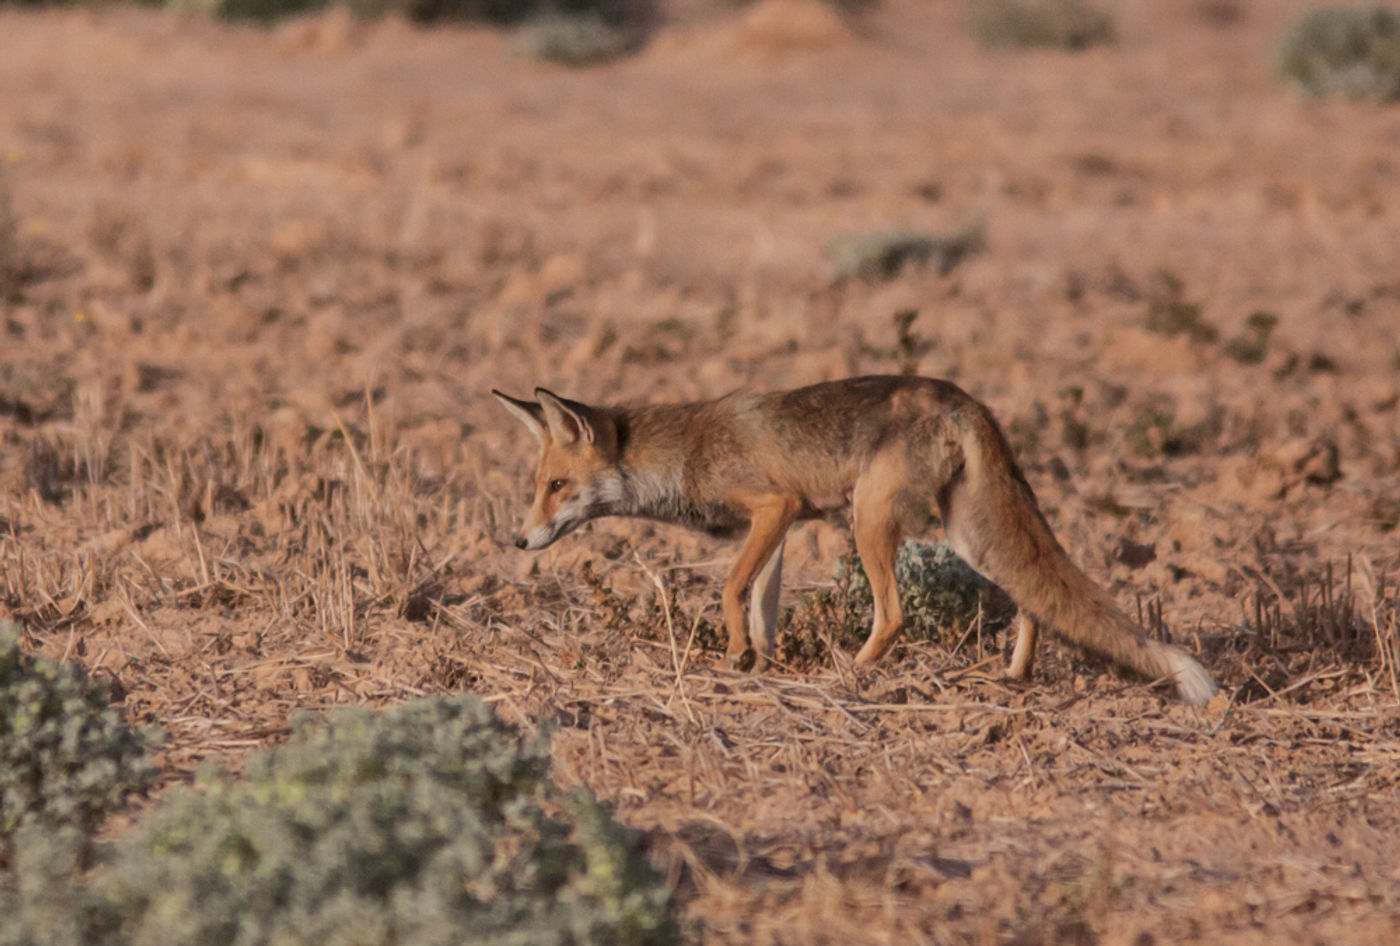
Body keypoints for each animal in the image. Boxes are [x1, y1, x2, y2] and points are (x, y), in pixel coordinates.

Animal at [492, 375, 1215, 702]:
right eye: (537, 485)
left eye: (556, 485)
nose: (518, 542)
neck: (685, 453)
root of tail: (964, 397)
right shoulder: (778, 526)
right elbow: (763, 604)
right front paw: (762, 662)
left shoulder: (774, 505)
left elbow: (730, 590)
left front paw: (735, 656)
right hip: (966, 534)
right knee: (1030, 598)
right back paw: (1014, 675)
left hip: (871, 521)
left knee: (893, 614)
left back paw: (854, 674)